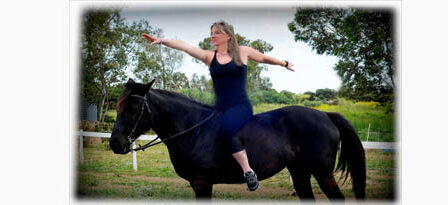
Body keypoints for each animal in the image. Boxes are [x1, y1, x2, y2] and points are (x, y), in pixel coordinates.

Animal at [110, 79, 366, 201]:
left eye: (134, 107)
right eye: (118, 105)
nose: (115, 144)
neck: (194, 129)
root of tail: (325, 115)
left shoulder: (202, 182)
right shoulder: (197, 183)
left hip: (322, 172)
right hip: (300, 172)